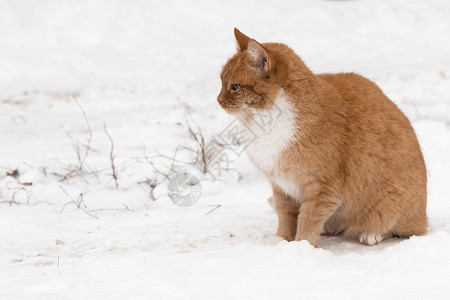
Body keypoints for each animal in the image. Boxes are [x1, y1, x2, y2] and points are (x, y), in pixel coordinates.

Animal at [218, 29, 428, 247]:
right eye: (221, 82)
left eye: (235, 86)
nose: (219, 100)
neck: (267, 120)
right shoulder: (281, 186)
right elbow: (285, 217)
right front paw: (281, 241)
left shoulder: (322, 189)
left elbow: (308, 221)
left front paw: (302, 247)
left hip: (393, 205)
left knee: (402, 228)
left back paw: (371, 233)